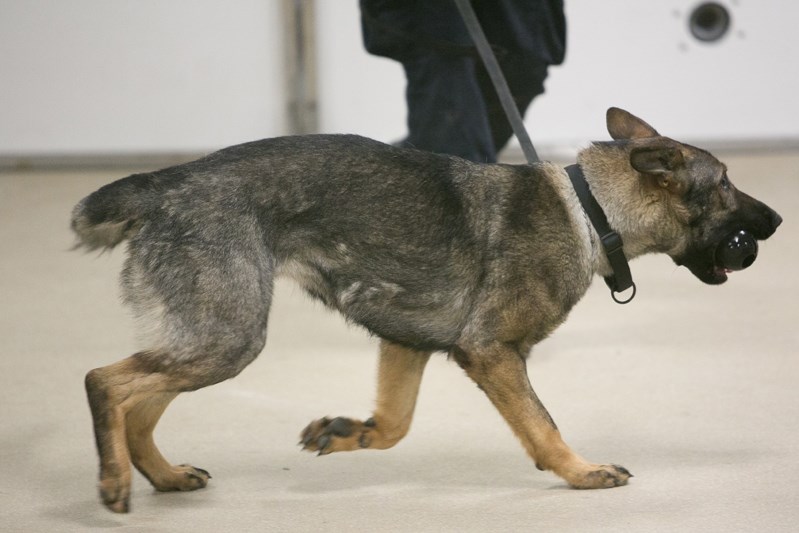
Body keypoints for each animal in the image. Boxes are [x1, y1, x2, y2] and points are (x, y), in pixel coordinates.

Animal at [73, 108, 780, 512]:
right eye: (724, 187)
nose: (776, 220)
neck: (591, 212)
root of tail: (167, 182)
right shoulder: (491, 354)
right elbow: (545, 427)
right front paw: (581, 473)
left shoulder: (407, 343)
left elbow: (394, 425)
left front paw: (347, 431)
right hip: (229, 338)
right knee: (105, 381)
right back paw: (114, 480)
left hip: (212, 338)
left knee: (142, 402)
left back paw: (163, 476)